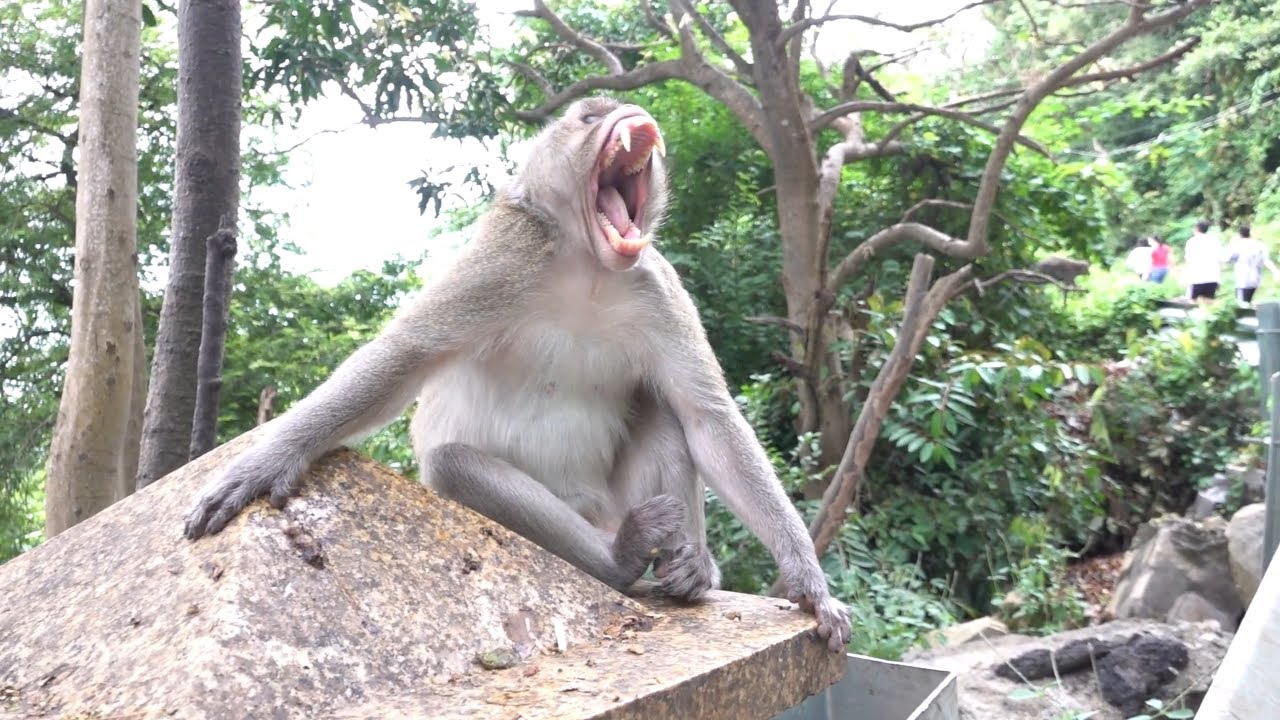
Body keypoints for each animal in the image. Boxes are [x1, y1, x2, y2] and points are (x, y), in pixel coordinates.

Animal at [183, 96, 851, 652]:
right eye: (589, 116)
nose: (634, 116)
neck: (588, 266)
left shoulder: (657, 288)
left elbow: (705, 415)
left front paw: (807, 579)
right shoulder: (503, 260)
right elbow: (405, 354)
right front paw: (266, 461)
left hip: (608, 498)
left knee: (662, 411)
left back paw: (688, 565)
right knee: (453, 466)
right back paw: (620, 558)